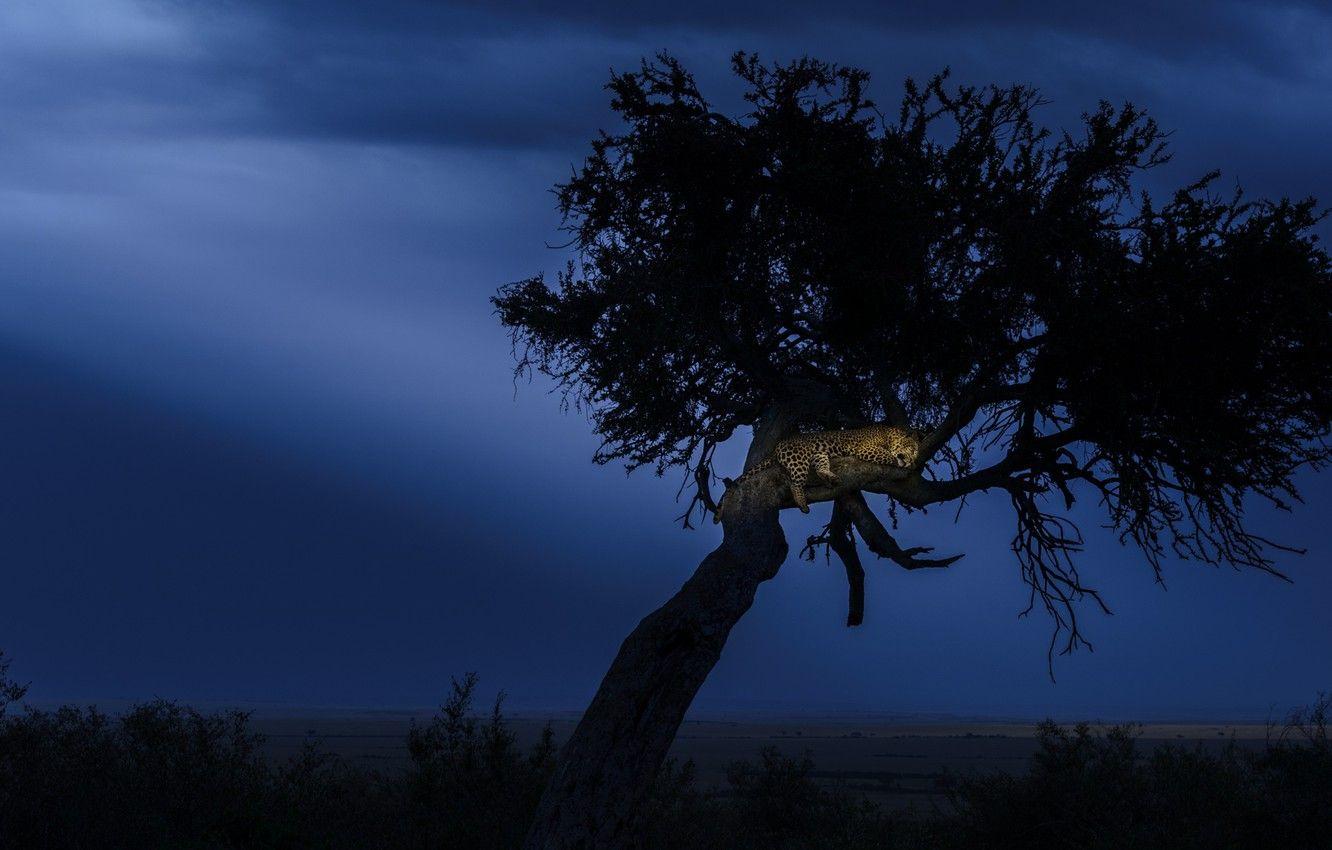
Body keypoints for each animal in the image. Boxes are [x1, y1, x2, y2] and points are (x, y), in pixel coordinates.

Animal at [713, 423, 920, 522]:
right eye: (912, 449)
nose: (913, 461)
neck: (889, 434)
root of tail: (778, 445)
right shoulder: (865, 448)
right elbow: (888, 456)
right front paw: (901, 462)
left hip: (818, 454)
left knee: (819, 469)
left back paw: (830, 478)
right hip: (799, 459)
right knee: (794, 483)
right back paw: (802, 502)